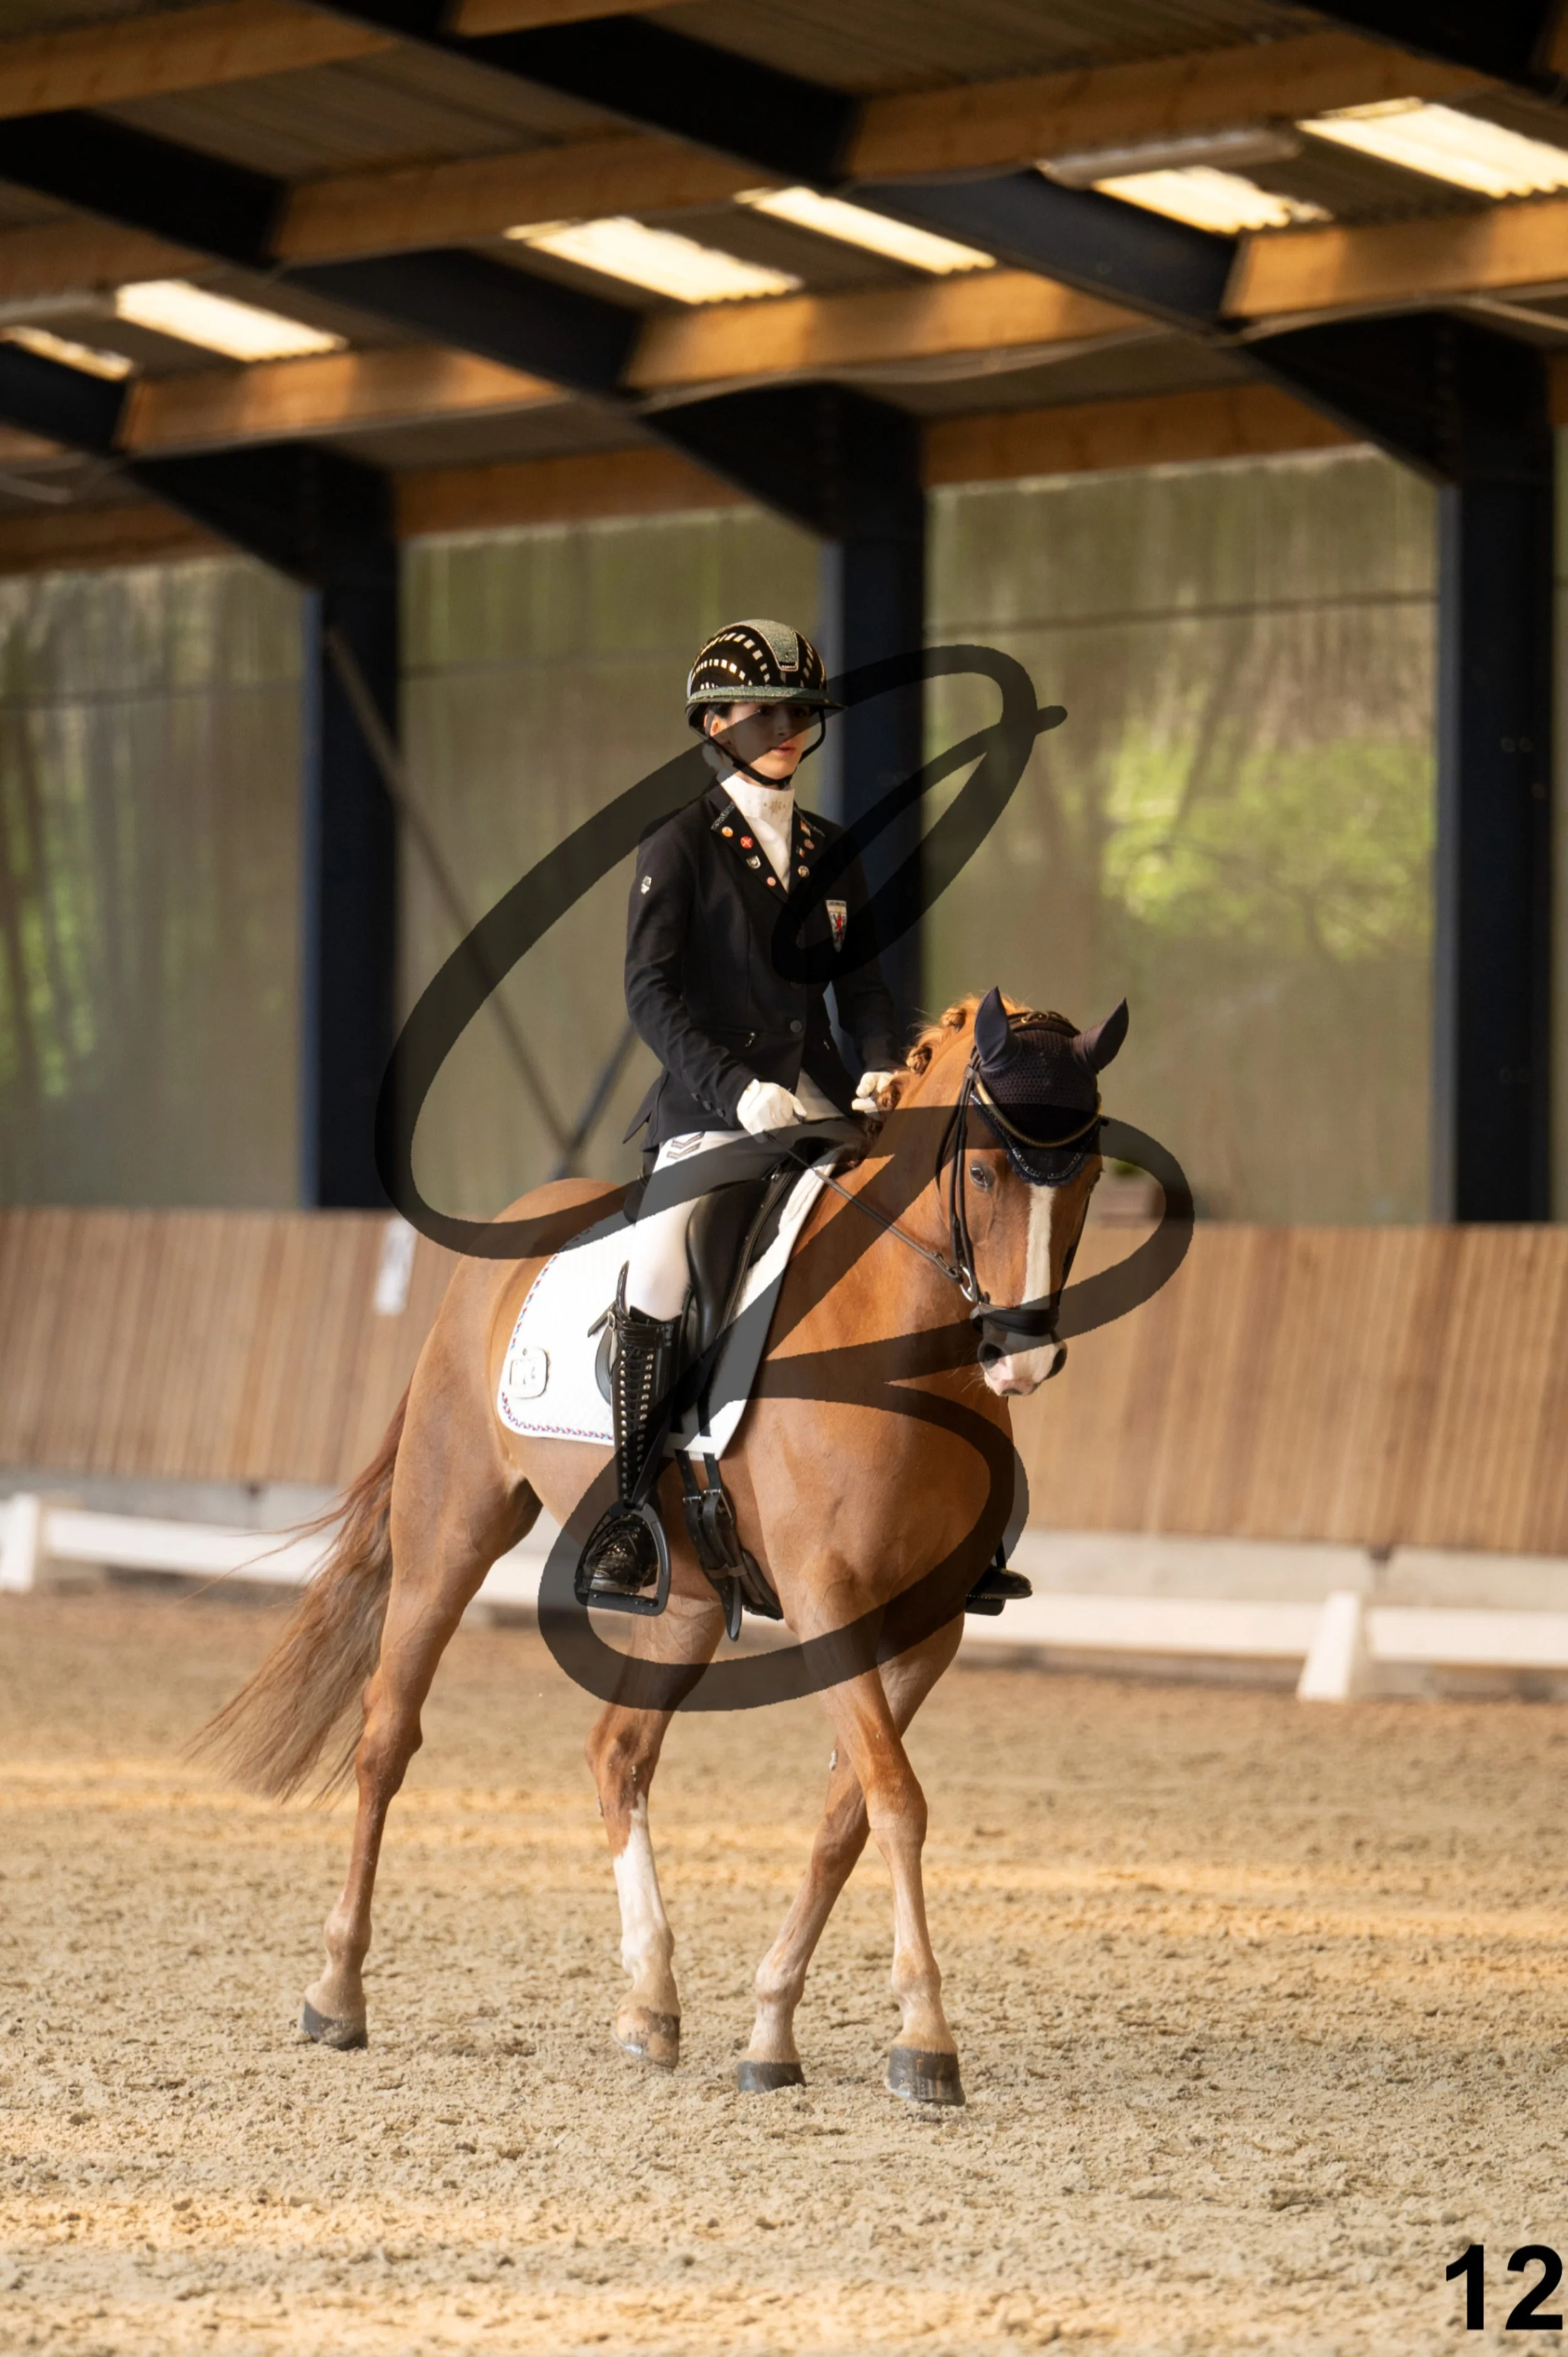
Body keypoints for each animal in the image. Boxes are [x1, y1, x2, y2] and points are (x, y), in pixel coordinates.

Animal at [198, 990, 1125, 2106]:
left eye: (1088, 1174)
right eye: (983, 1172)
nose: (1021, 1357)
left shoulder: (927, 1626)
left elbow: (849, 1815)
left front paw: (771, 2031)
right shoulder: (828, 1600)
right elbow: (897, 1801)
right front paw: (926, 2040)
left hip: (681, 1603)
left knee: (618, 1753)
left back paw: (649, 2001)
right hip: (450, 1532)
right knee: (387, 1739)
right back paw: (337, 1993)